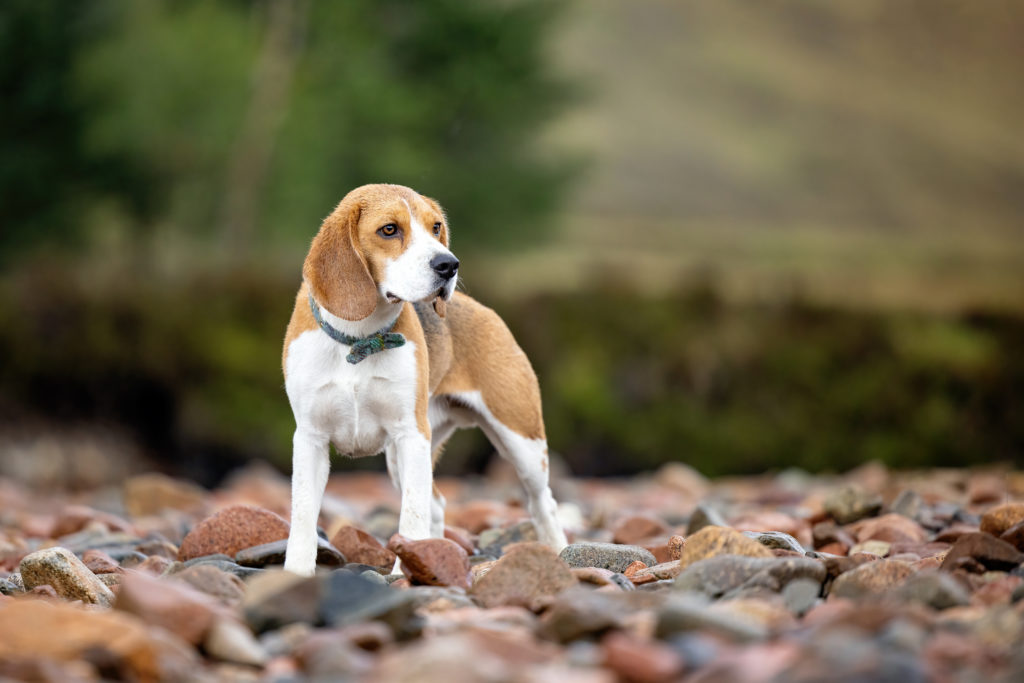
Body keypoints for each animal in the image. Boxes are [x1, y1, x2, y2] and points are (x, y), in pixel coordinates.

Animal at [282, 183, 569, 577]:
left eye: (436, 228)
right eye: (389, 230)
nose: (449, 264)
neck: (360, 339)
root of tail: (483, 309)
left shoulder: (411, 434)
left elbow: (412, 513)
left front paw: (404, 572)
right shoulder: (310, 438)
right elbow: (304, 512)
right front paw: (295, 574)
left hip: (520, 440)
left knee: (543, 501)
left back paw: (559, 552)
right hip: (402, 458)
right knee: (437, 504)